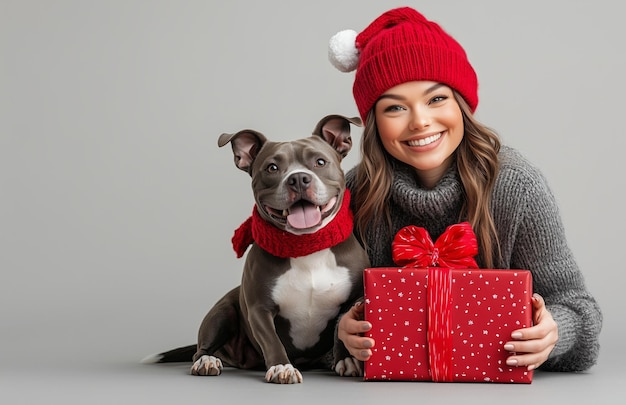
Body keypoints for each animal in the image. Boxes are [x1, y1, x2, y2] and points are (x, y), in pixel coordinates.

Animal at [143, 113, 368, 382]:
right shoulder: (259, 309)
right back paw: (207, 361)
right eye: (272, 168)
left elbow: (341, 327)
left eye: (320, 162)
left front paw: (347, 359)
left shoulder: (352, 299)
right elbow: (271, 340)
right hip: (222, 312)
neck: (306, 247)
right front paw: (282, 367)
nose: (298, 179)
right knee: (201, 348)